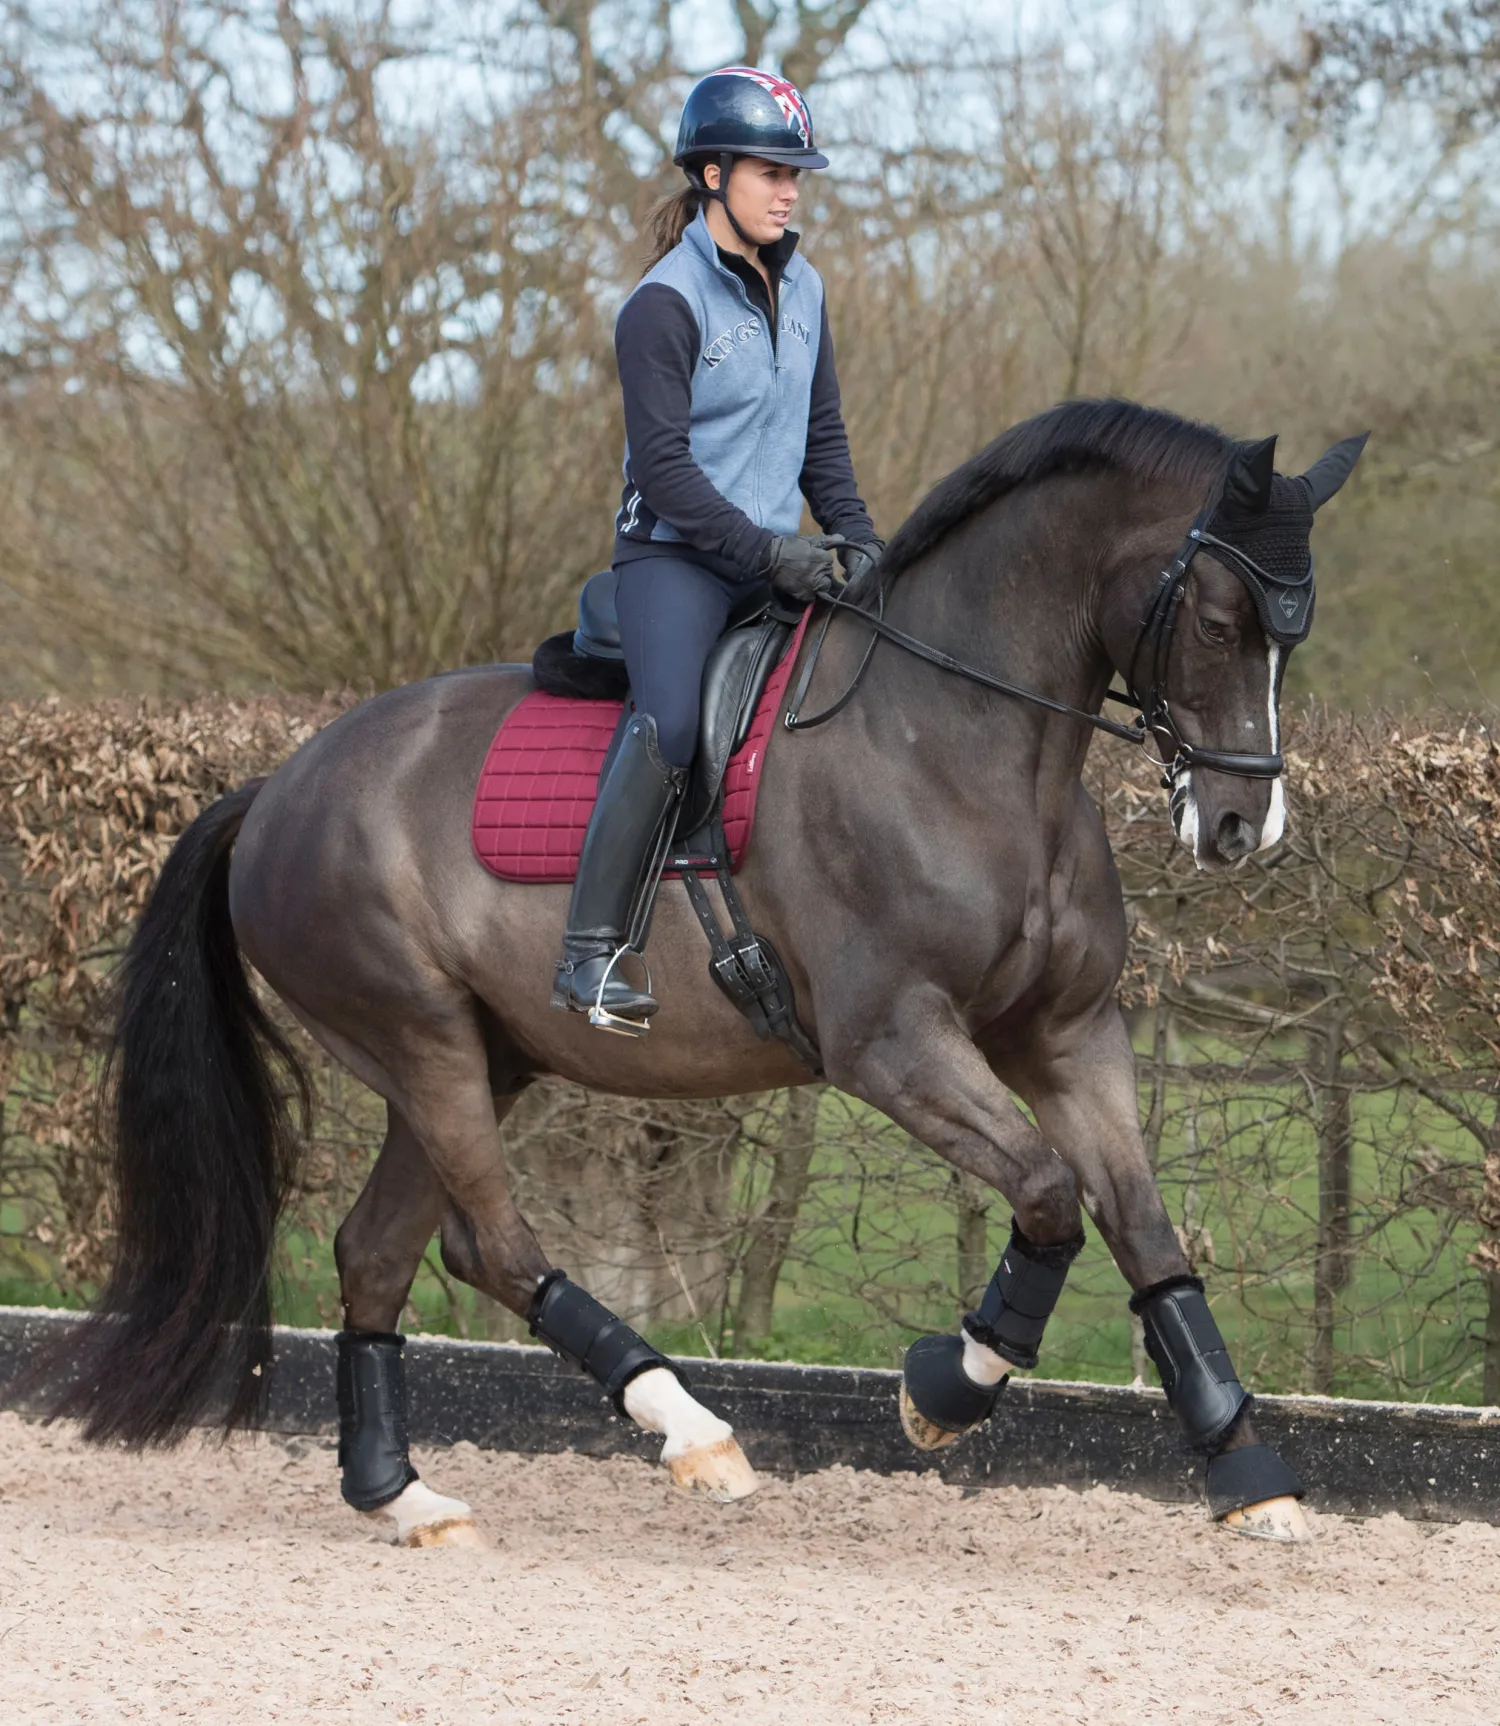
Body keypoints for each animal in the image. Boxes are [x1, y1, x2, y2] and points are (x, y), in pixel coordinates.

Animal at [53, 398, 1366, 1548]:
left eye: (1294, 638)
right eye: (1216, 623)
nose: (1243, 823)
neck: (961, 745)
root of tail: (275, 788)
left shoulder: (1068, 1032)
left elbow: (1140, 1225)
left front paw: (1248, 1470)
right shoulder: (893, 1044)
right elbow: (1048, 1195)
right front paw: (947, 1385)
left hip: (477, 1055)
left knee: (382, 1253)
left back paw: (404, 1497)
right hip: (419, 1038)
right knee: (496, 1248)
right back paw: (691, 1432)